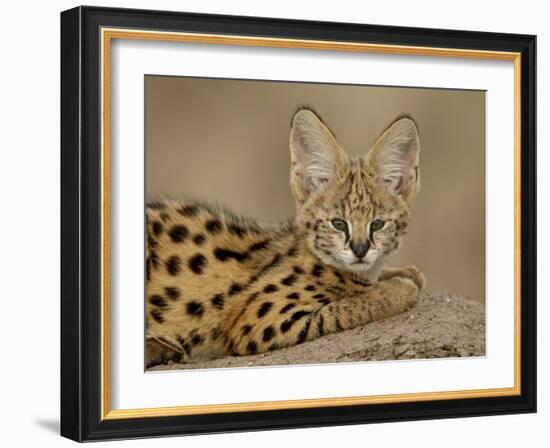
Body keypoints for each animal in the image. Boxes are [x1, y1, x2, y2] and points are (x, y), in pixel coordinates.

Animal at [144, 107, 424, 366]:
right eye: (338, 223)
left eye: (377, 224)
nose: (360, 249)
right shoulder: (258, 321)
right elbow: (344, 307)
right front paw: (397, 289)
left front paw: (405, 273)